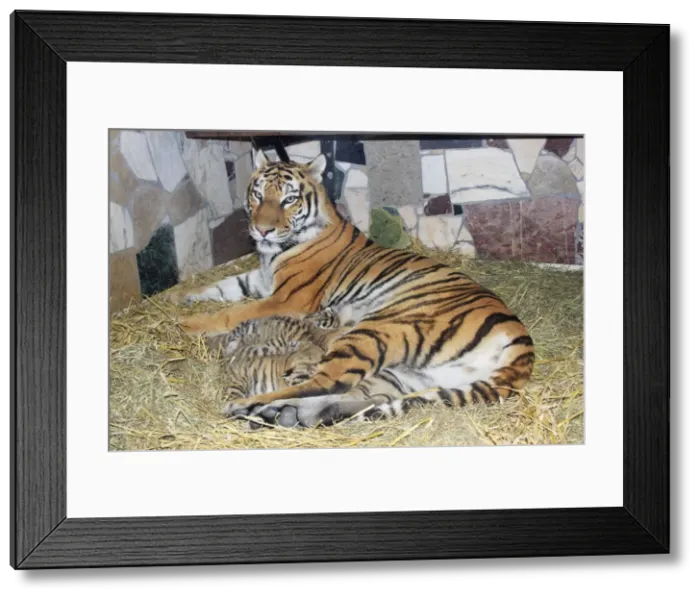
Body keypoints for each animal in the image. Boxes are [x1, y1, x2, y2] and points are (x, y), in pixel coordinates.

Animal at [174, 149, 535, 428]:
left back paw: (250, 405)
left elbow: (231, 312)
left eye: (289, 199)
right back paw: (286, 414)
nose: (261, 230)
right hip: (412, 374)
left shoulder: (288, 298)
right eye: (258, 195)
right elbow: (221, 287)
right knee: (351, 395)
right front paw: (182, 298)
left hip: (379, 331)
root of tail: (522, 344)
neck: (272, 252)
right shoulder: (260, 280)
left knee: (325, 381)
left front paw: (184, 324)